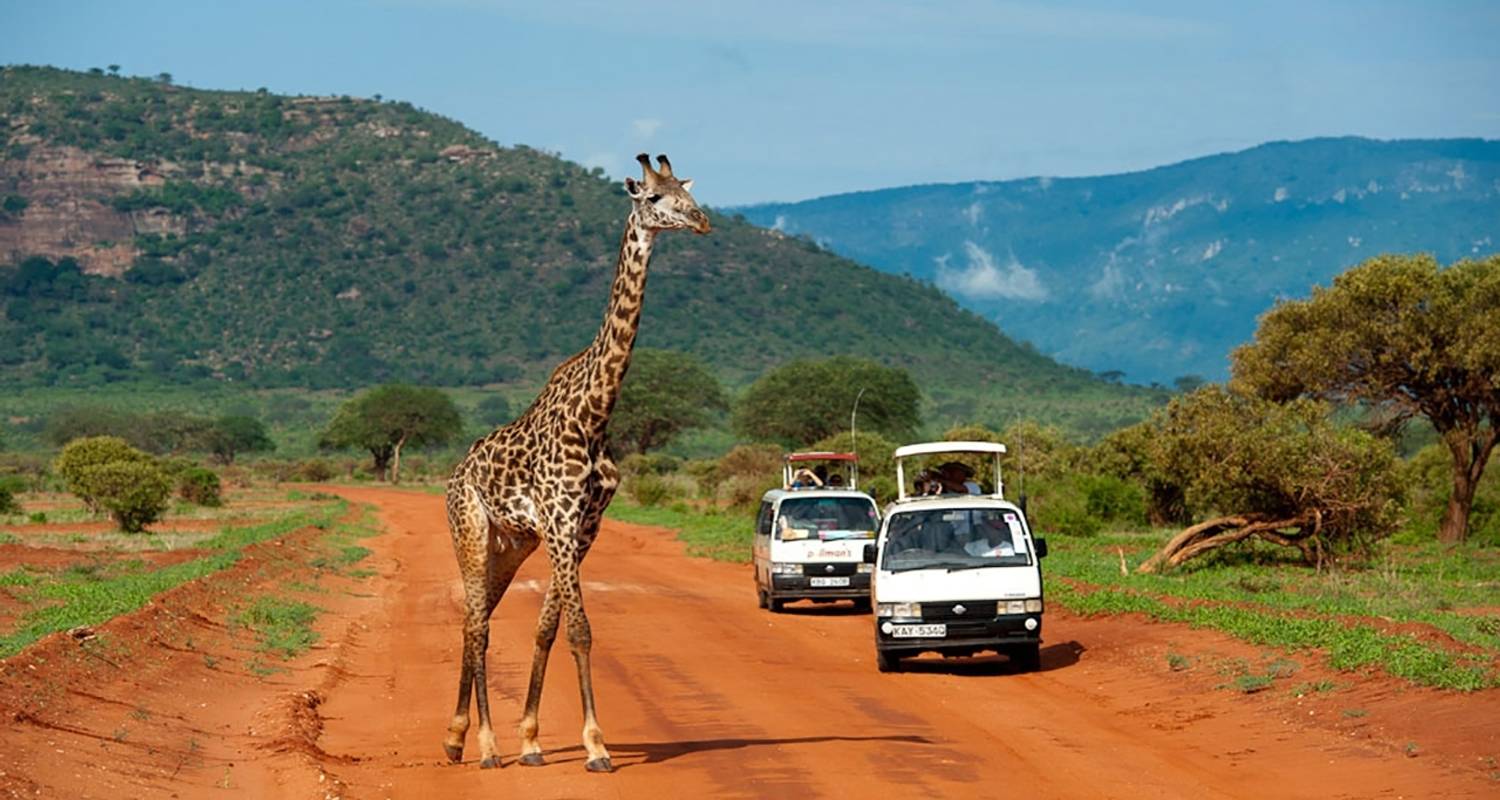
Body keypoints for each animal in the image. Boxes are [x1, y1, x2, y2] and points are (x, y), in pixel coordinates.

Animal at [438, 153, 708, 768]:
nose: (702, 221)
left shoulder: (584, 527)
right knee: (477, 625)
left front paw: (533, 738)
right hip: (470, 528)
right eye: (653, 199)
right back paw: (484, 746)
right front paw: (595, 745)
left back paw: (457, 737)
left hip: (512, 543)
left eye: (686, 192)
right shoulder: (560, 521)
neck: (596, 413)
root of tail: (455, 474)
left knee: (475, 619)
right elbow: (581, 630)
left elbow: (548, 627)